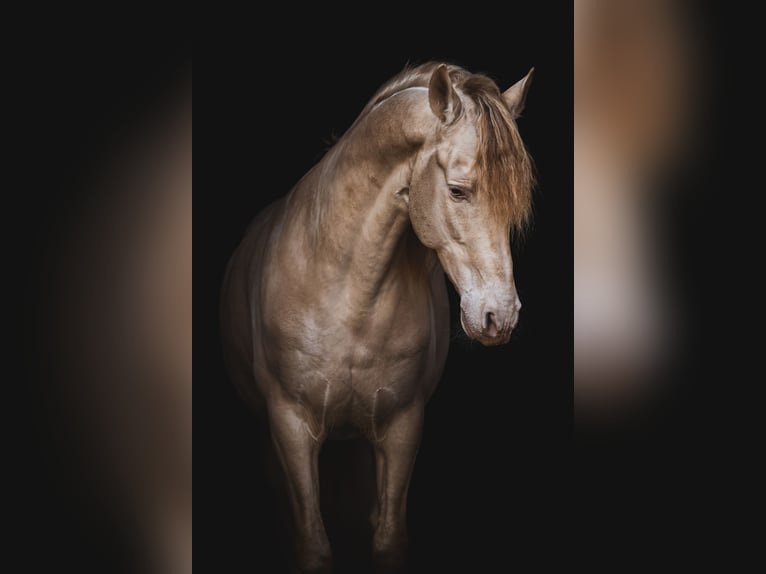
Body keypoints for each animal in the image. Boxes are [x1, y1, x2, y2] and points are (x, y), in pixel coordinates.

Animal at [220, 62, 534, 573]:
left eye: (515, 200)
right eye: (457, 191)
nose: (499, 315)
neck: (349, 297)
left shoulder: (402, 426)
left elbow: (388, 537)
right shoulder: (290, 425)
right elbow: (312, 544)